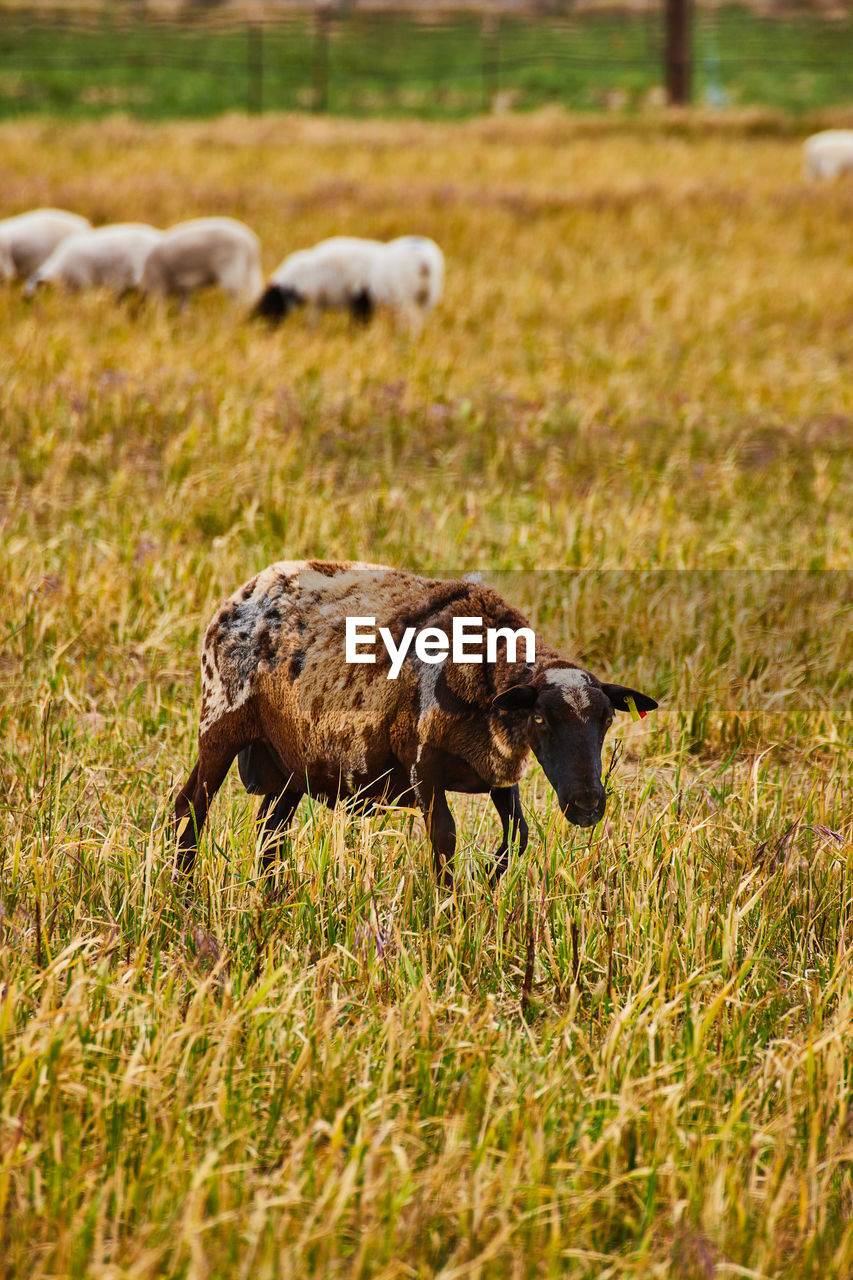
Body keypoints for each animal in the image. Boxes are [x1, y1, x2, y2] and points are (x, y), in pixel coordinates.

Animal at [174, 565, 655, 885]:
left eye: (607, 720)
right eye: (539, 718)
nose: (587, 806)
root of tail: (244, 592)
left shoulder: (498, 771)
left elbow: (516, 835)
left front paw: (487, 884)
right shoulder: (424, 771)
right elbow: (445, 841)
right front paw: (449, 913)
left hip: (291, 759)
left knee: (269, 833)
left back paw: (272, 897)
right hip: (220, 722)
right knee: (191, 807)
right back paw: (184, 890)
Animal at [256, 235, 445, 332]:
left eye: (270, 302)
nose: (256, 326)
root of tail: (424, 262)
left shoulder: (359, 300)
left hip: (405, 298)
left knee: (411, 322)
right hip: (427, 298)